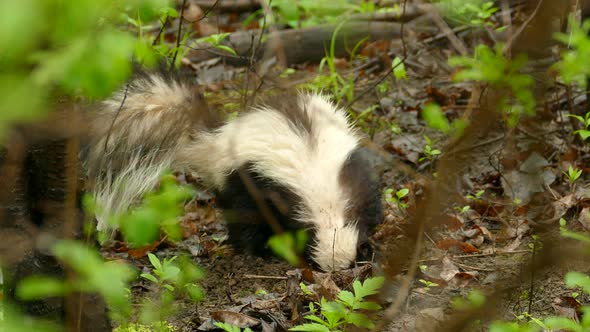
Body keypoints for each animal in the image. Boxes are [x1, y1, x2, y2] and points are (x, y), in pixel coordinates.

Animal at [86, 71, 384, 272]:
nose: (342, 268)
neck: (325, 198)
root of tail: (217, 140)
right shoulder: (273, 191)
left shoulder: (351, 172)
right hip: (239, 180)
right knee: (243, 220)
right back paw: (253, 253)